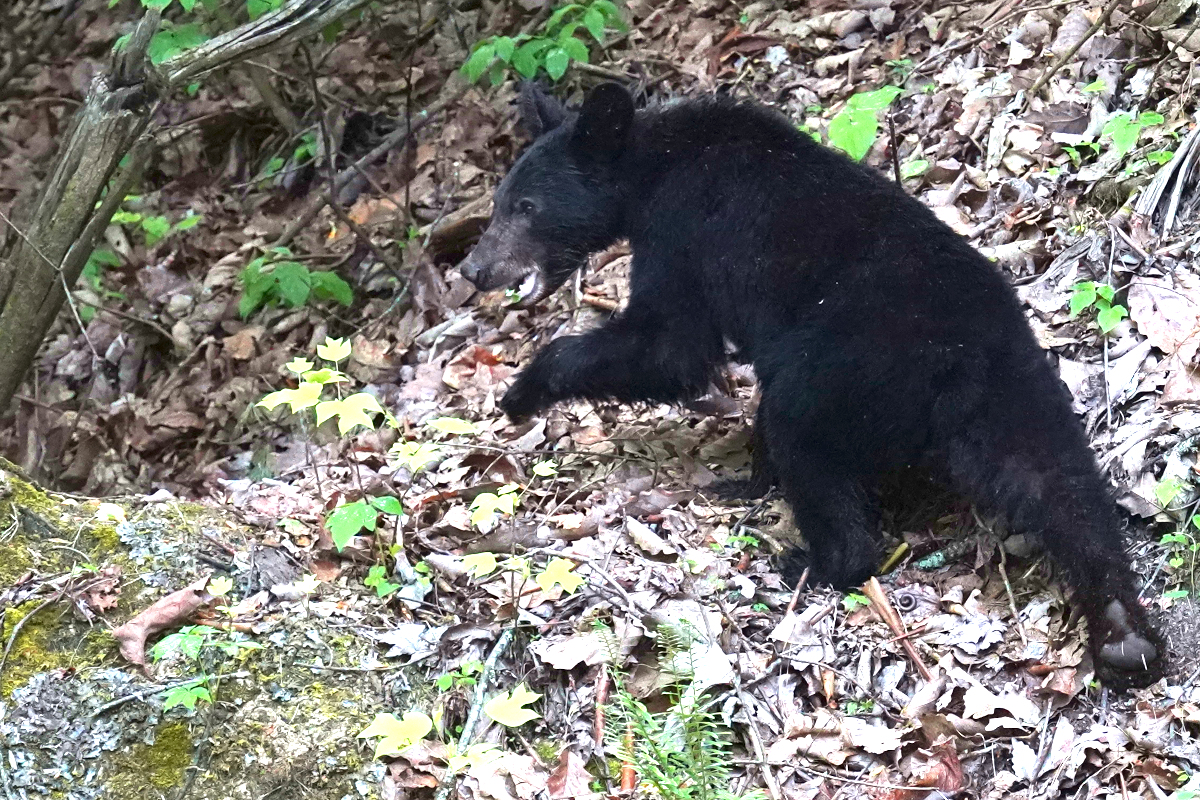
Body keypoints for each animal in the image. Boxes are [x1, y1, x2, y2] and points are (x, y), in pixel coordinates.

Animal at [459, 81, 1165, 689]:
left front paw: (522, 390)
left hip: (843, 369)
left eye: (526, 208)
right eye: (496, 205)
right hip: (1019, 396)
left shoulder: (683, 228)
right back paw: (1124, 631)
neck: (650, 165)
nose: (472, 269)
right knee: (1061, 484)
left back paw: (811, 559)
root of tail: (968, 359)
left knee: (804, 438)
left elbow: (669, 345)